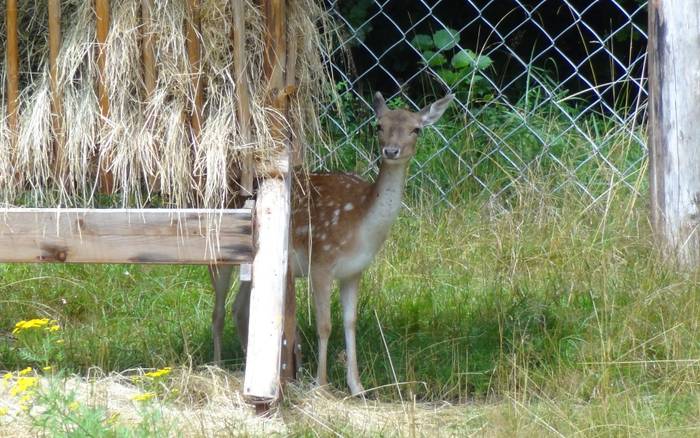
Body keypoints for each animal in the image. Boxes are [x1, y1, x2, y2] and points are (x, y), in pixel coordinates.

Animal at [209, 92, 454, 396]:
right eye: (379, 125)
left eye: (416, 129)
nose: (391, 151)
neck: (361, 227)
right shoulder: (321, 262)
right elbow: (324, 325)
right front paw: (321, 384)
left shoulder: (354, 271)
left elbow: (350, 322)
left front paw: (358, 387)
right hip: (219, 249)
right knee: (218, 311)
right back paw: (217, 366)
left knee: (240, 308)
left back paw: (248, 365)